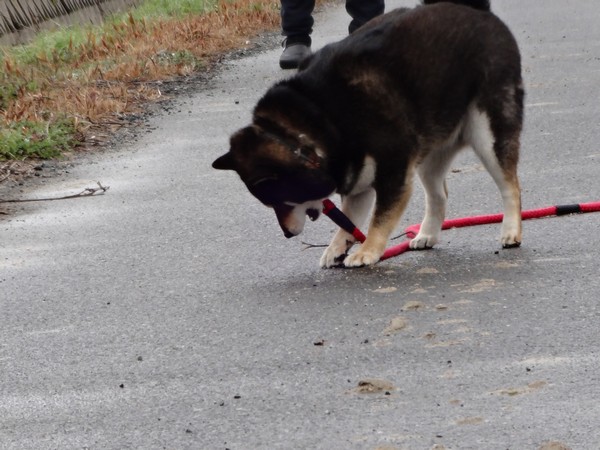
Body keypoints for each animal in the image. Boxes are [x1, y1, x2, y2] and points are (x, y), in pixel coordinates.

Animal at [213, 0, 524, 268]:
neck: (321, 118)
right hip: (428, 154)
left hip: (488, 135)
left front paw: (368, 249)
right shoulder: (358, 180)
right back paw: (427, 234)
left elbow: (380, 218)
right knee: (439, 195)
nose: (288, 234)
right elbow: (349, 222)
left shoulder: (394, 172)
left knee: (511, 187)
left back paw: (511, 231)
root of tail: (475, 10)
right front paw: (338, 247)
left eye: (281, 202)